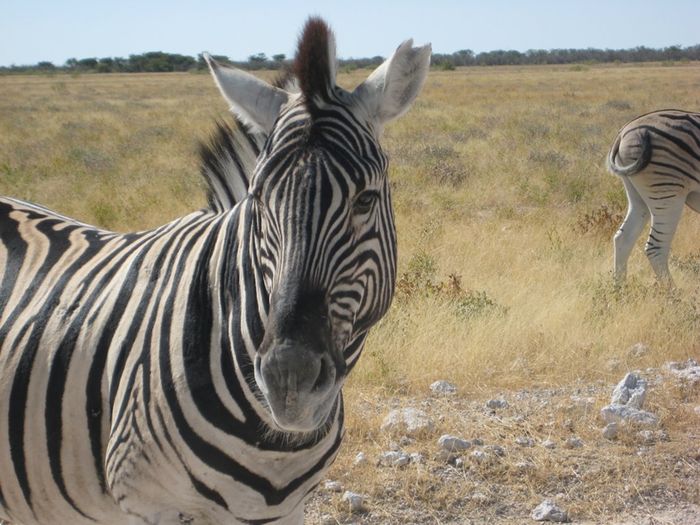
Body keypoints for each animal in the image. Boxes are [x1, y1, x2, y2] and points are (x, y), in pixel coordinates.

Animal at [0, 17, 432, 524]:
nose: (289, 382)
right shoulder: (149, 503)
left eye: (365, 199)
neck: (272, 444)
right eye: (258, 199)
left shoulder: (288, 509)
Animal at [608, 108, 700, 284]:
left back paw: (619, 288)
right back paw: (673, 291)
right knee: (655, 248)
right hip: (667, 192)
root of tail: (623, 132)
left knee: (623, 238)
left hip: (638, 197)